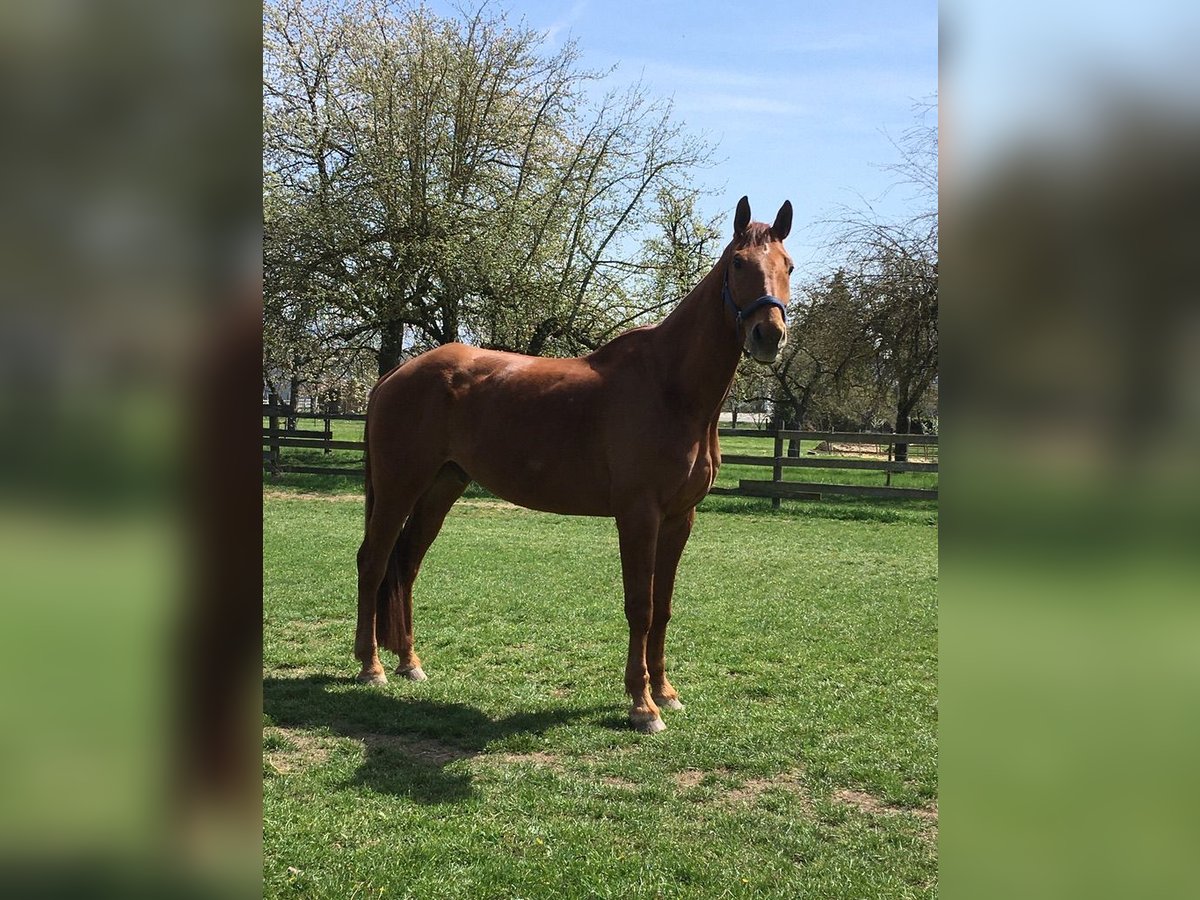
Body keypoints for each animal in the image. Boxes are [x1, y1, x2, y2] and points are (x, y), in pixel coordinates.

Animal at [350, 195, 792, 734]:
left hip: (441, 487)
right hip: (399, 487)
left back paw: (410, 663)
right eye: (738, 264)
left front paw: (666, 694)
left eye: (788, 266)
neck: (671, 388)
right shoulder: (638, 516)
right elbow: (640, 607)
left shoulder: (679, 518)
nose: (768, 334)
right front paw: (642, 705)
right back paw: (371, 667)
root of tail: (396, 374)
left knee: (407, 564)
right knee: (373, 562)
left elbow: (664, 607)